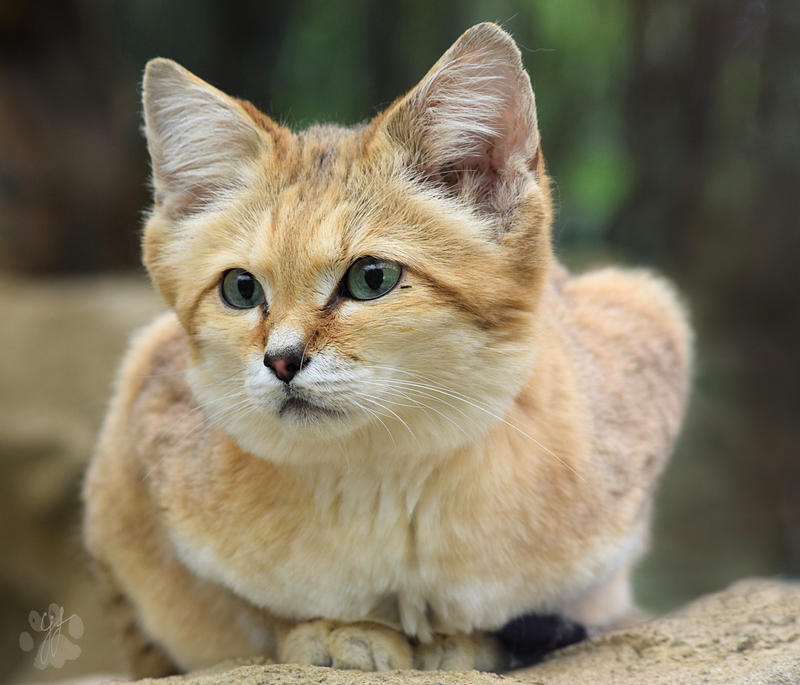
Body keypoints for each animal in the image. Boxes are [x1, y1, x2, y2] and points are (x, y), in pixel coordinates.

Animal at [84, 20, 692, 672]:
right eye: (241, 289)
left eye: (371, 278)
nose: (281, 360)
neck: (386, 480)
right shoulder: (126, 445)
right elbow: (236, 611)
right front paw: (331, 630)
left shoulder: (649, 312)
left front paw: (464, 640)